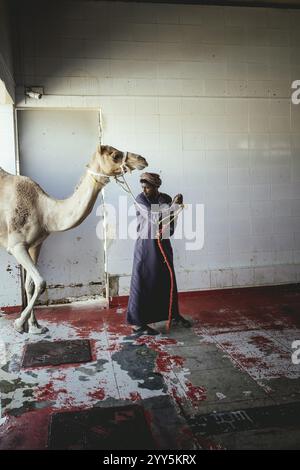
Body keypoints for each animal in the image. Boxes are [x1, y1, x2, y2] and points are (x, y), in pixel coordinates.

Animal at [0, 145, 148, 332]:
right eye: (115, 155)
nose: (142, 159)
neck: (44, 211)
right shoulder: (16, 245)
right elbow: (41, 282)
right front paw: (19, 324)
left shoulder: (35, 245)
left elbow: (31, 285)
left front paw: (35, 327)